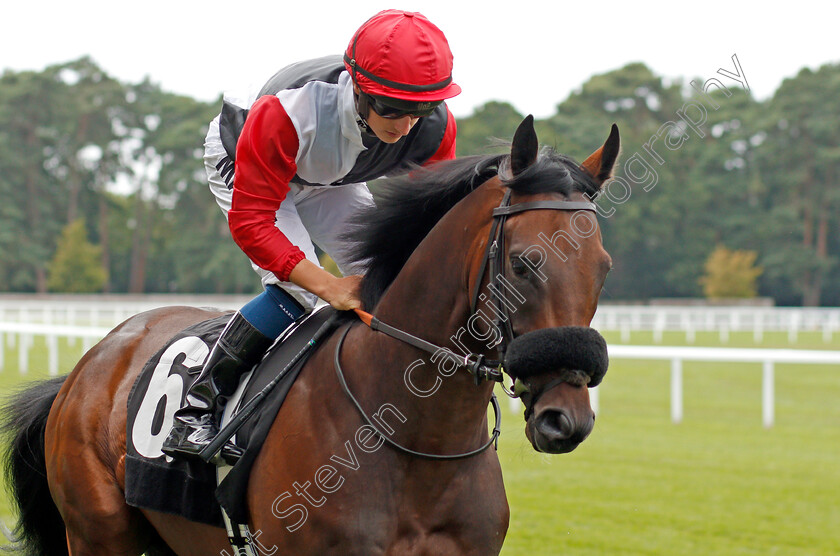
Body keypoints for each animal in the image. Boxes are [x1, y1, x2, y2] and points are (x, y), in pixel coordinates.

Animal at [0, 115, 616, 552]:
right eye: (524, 264)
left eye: (604, 268)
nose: (566, 418)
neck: (417, 440)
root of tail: (91, 362)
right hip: (98, 533)